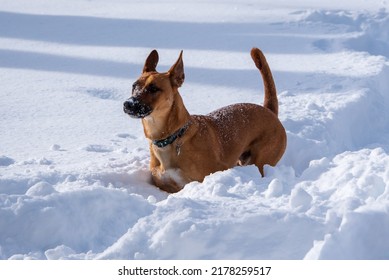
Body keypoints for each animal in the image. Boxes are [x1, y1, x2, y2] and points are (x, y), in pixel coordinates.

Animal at [123, 48, 286, 192]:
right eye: (134, 86)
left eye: (153, 88)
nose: (128, 104)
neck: (172, 136)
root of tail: (269, 111)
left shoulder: (217, 171)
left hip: (262, 161)